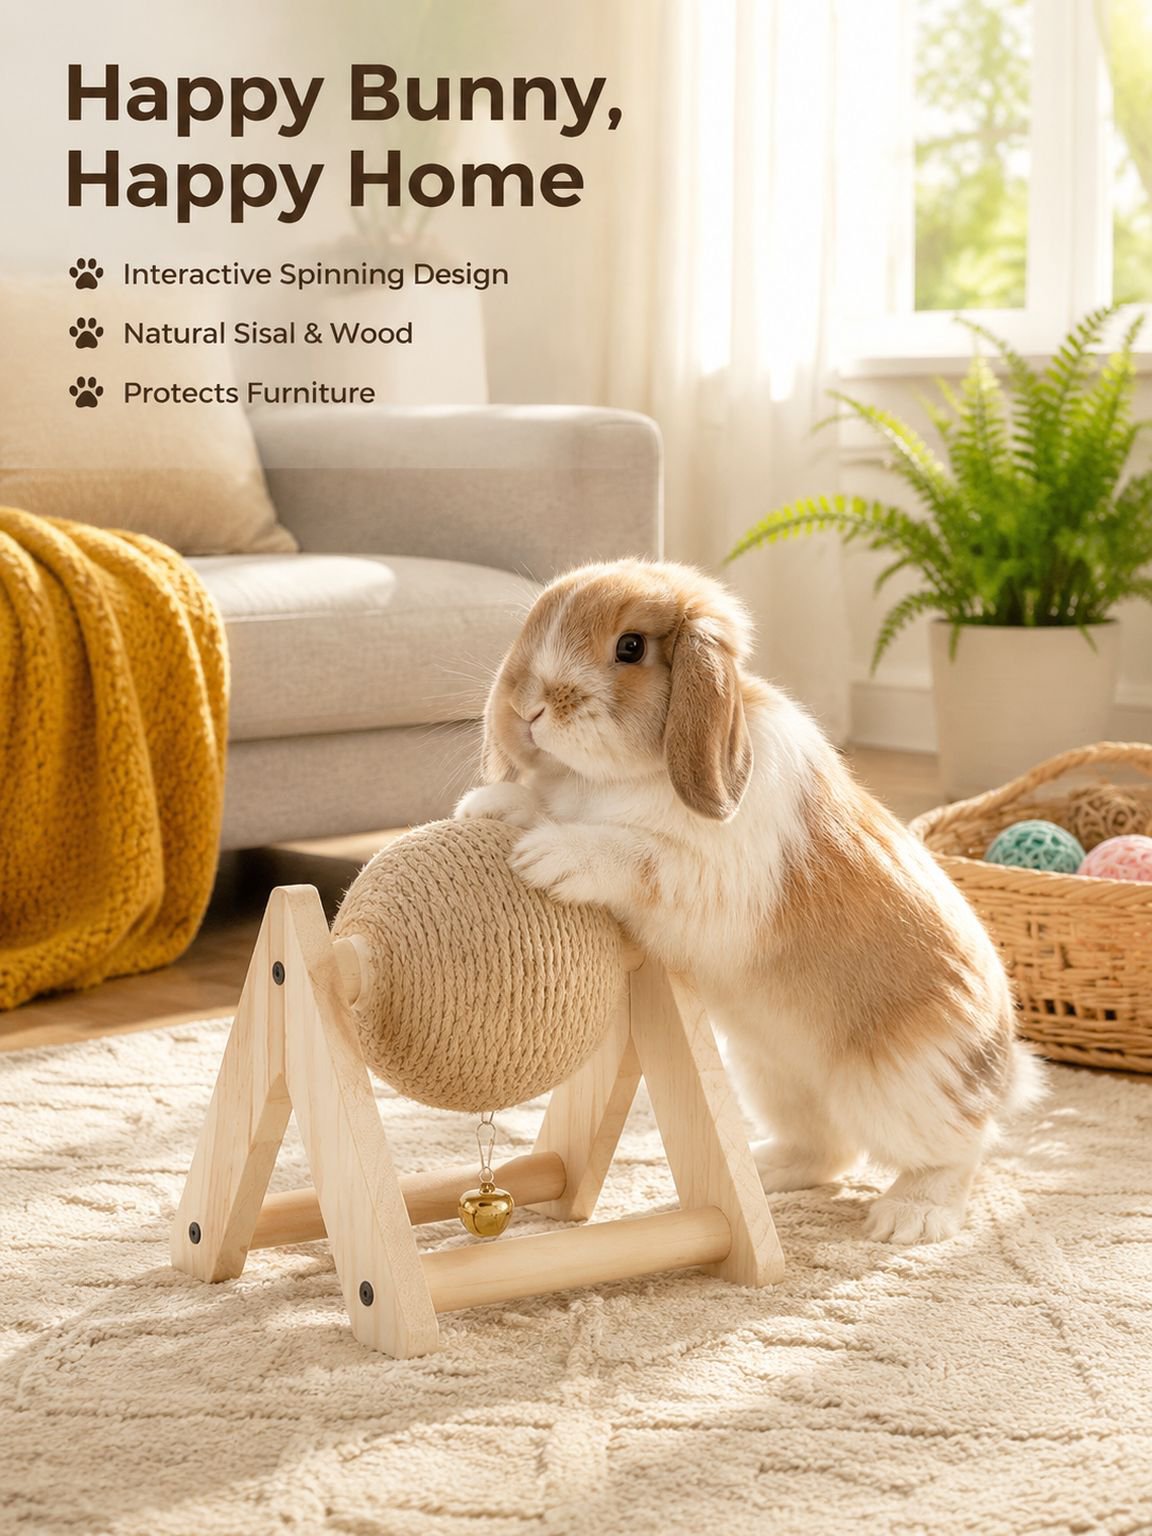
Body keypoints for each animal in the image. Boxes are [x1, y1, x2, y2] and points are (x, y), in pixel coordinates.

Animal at [455, 559, 1044, 1244]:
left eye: (631, 647)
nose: (528, 707)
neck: (626, 778)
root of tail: (1001, 1069)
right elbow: (547, 806)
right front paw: (489, 807)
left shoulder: (705, 877)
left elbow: (632, 852)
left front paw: (548, 857)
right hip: (772, 1074)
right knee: (828, 1149)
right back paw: (763, 1169)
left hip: (904, 1087)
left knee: (960, 1149)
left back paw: (909, 1217)